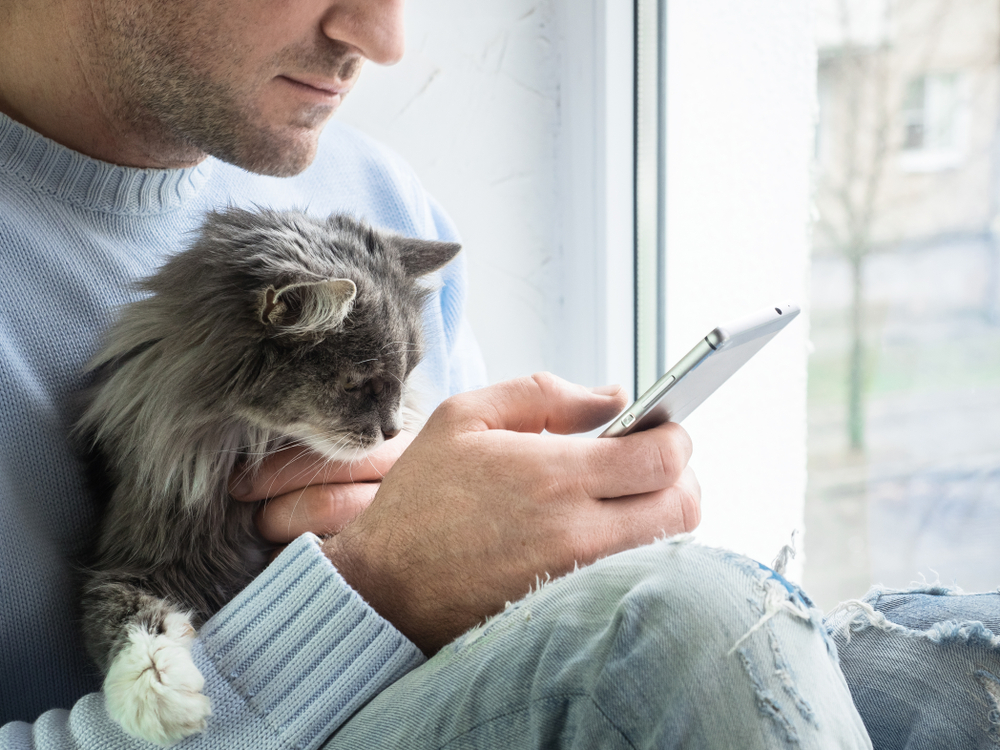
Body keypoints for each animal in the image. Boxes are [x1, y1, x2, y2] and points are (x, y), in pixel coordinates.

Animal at [75, 206, 460, 748]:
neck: (251, 441)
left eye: (406, 377)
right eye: (360, 385)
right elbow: (127, 622)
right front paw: (162, 696)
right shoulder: (128, 562)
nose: (391, 431)